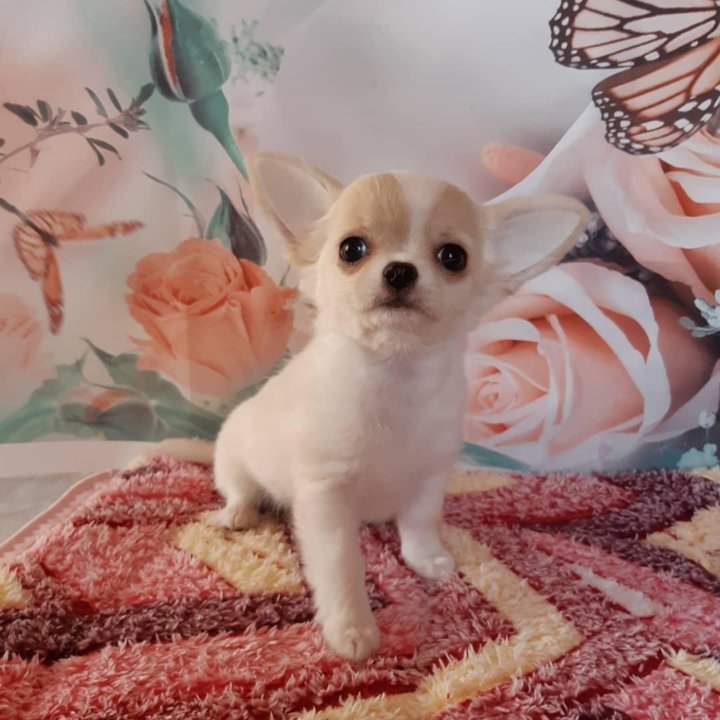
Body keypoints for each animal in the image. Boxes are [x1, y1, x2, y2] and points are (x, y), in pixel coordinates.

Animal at [157, 152, 589, 661]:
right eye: (351, 249)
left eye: (453, 257)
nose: (400, 270)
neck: (394, 376)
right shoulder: (326, 495)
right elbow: (341, 564)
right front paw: (352, 629)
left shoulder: (429, 474)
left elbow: (419, 522)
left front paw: (426, 558)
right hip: (235, 458)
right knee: (240, 490)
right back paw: (238, 513)